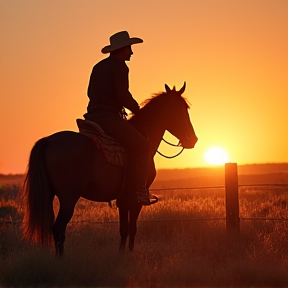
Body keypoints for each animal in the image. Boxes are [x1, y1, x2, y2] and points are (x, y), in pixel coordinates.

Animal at [20, 82, 198, 255]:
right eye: (180, 110)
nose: (193, 140)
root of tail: (49, 140)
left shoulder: (124, 199)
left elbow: (124, 229)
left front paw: (121, 255)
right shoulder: (137, 198)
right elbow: (132, 229)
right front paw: (130, 255)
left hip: (51, 194)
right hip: (68, 198)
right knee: (58, 228)